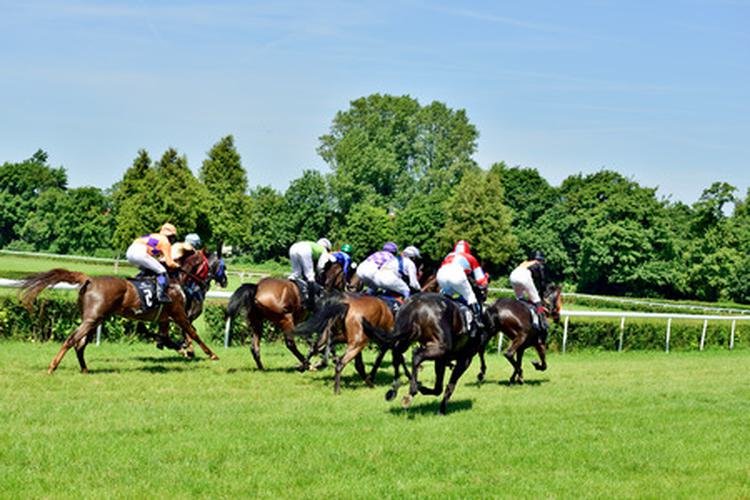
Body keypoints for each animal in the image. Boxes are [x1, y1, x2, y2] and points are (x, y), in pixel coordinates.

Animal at [20, 264, 220, 374]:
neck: (175, 284)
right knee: (72, 340)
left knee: (80, 344)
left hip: (96, 319)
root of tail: (90, 279)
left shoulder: (164, 319)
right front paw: (210, 354)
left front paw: (185, 350)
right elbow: (193, 334)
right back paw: (52, 367)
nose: (222, 280)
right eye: (219, 265)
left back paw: (85, 369)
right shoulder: (179, 314)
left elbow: (165, 338)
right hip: (92, 319)